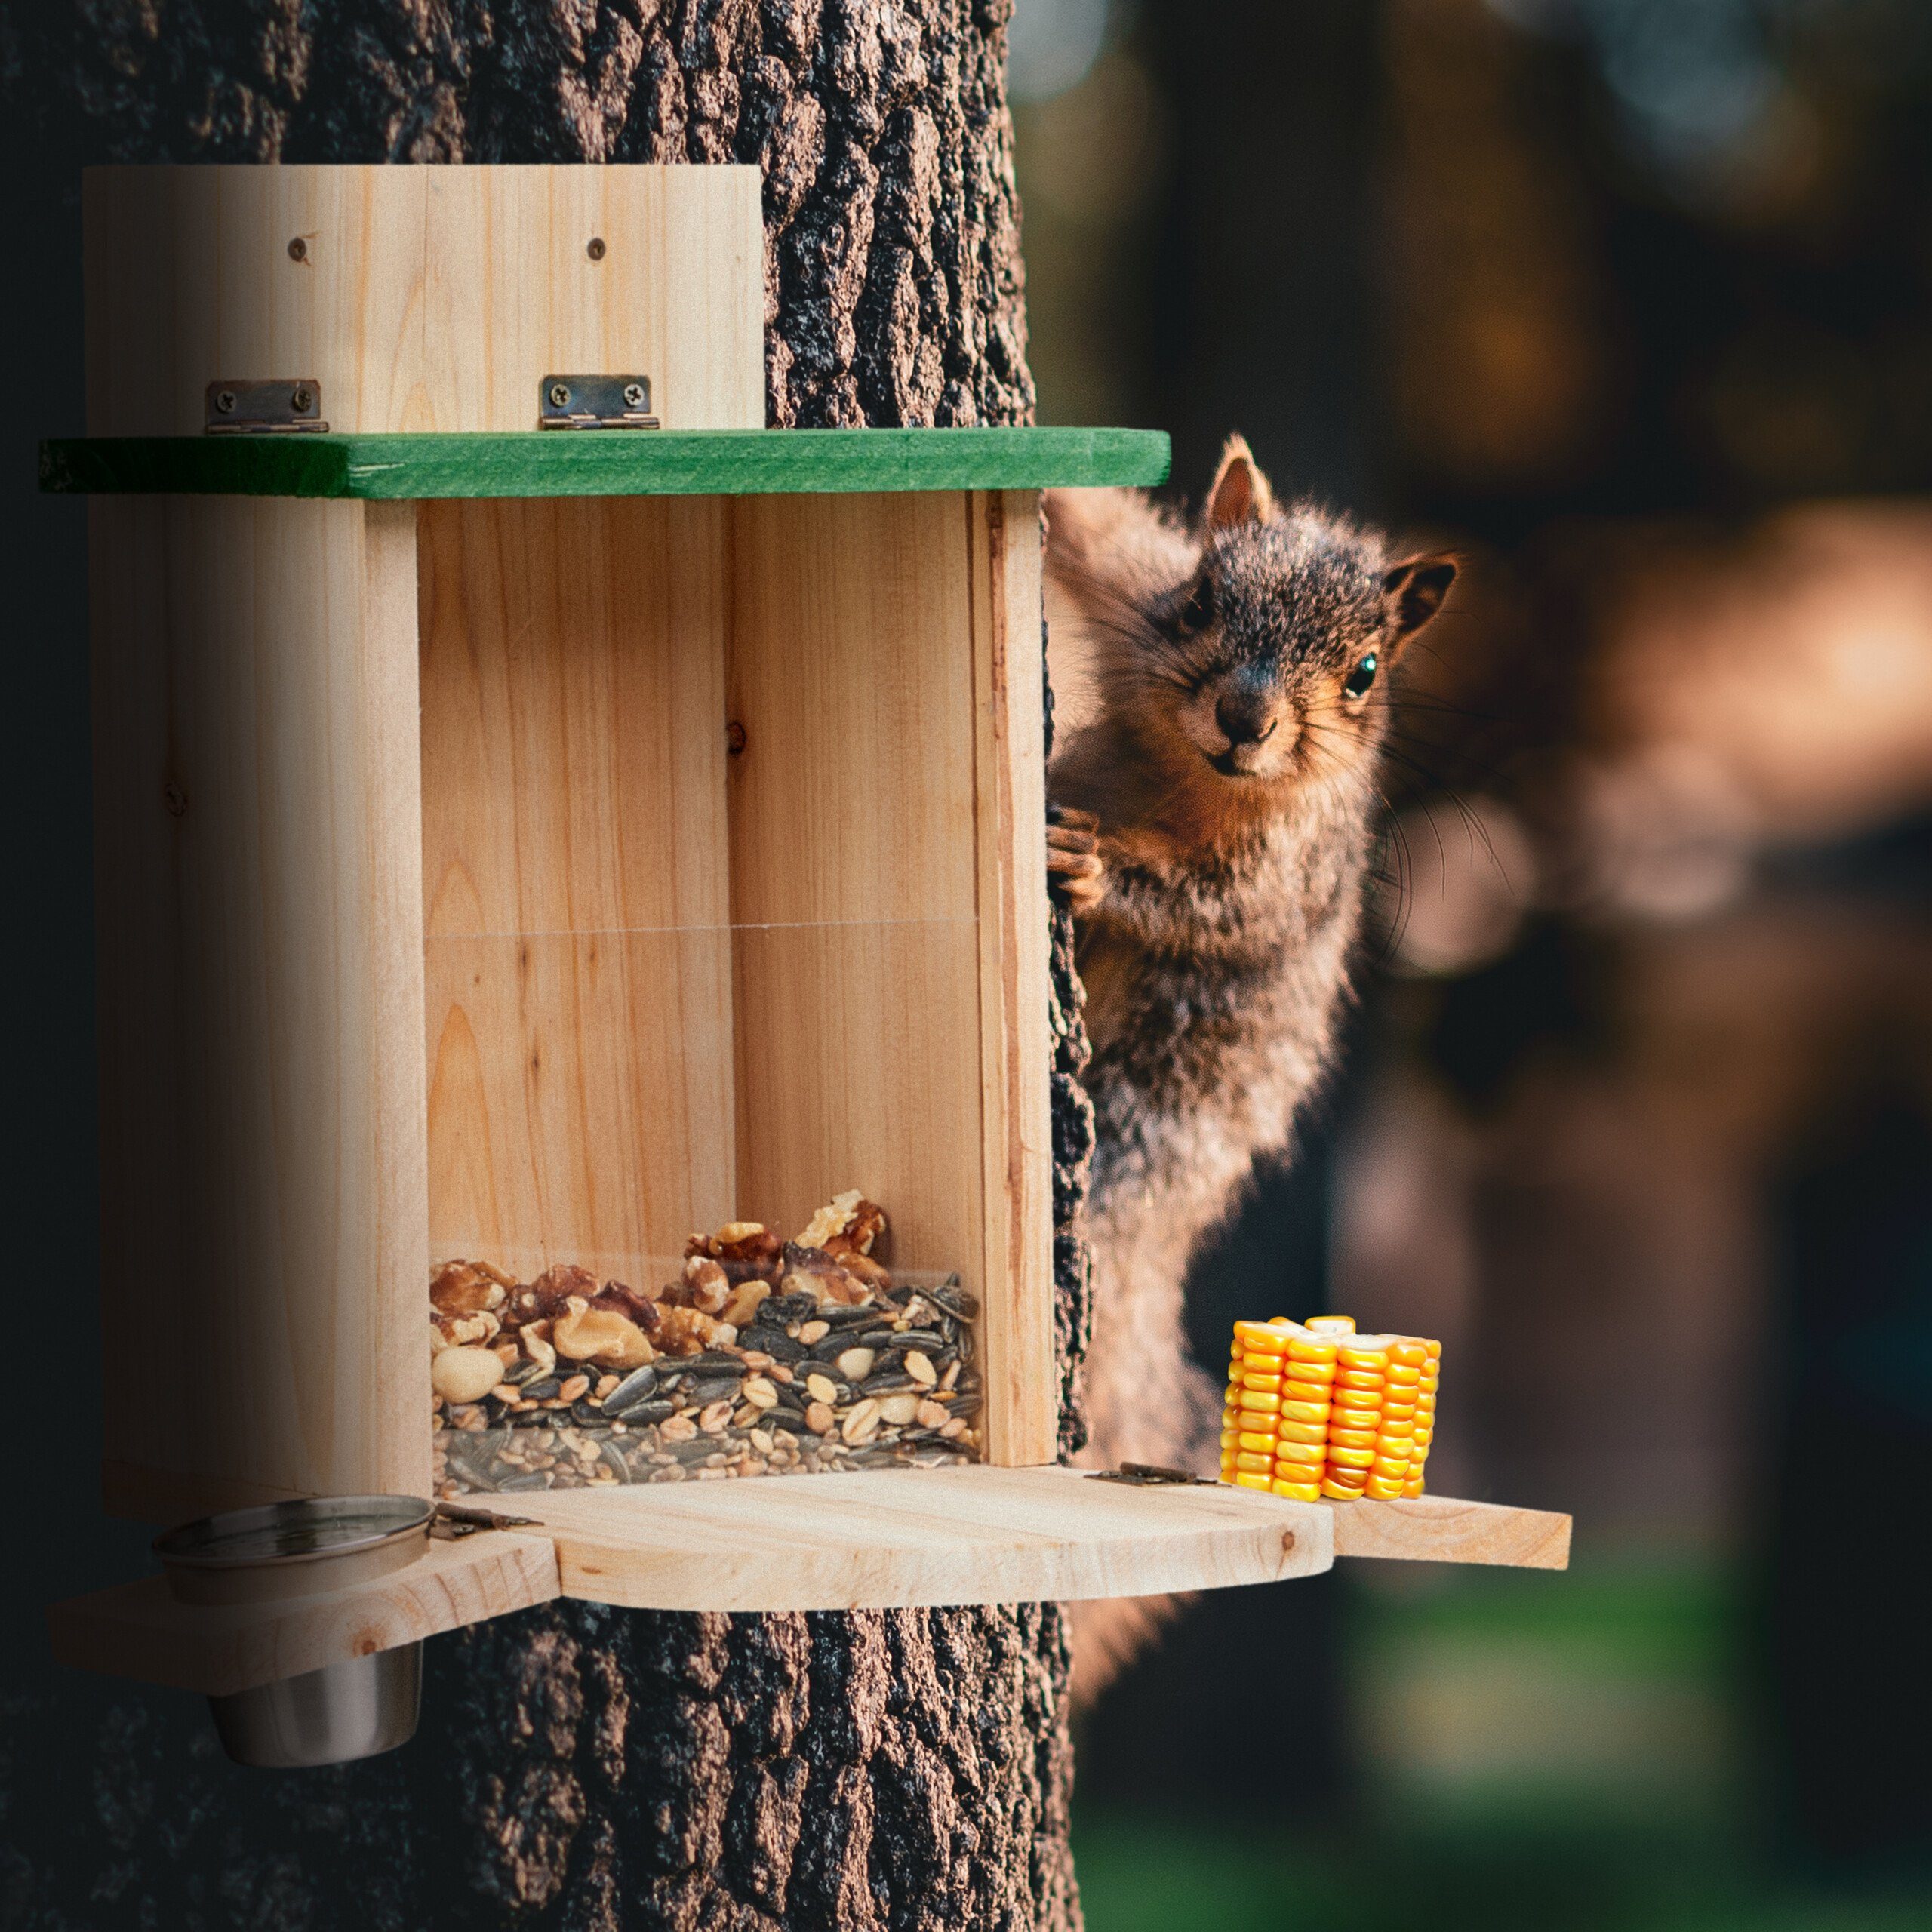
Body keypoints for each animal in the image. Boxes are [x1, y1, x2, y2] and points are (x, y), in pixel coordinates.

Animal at [1043, 437, 1455, 1696]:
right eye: (1202, 601)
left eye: (1365, 671)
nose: (1245, 716)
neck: (1190, 777)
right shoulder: (1129, 587)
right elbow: (1094, 529)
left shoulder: (1285, 871)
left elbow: (1204, 909)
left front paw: (1099, 866)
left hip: (1148, 1120)